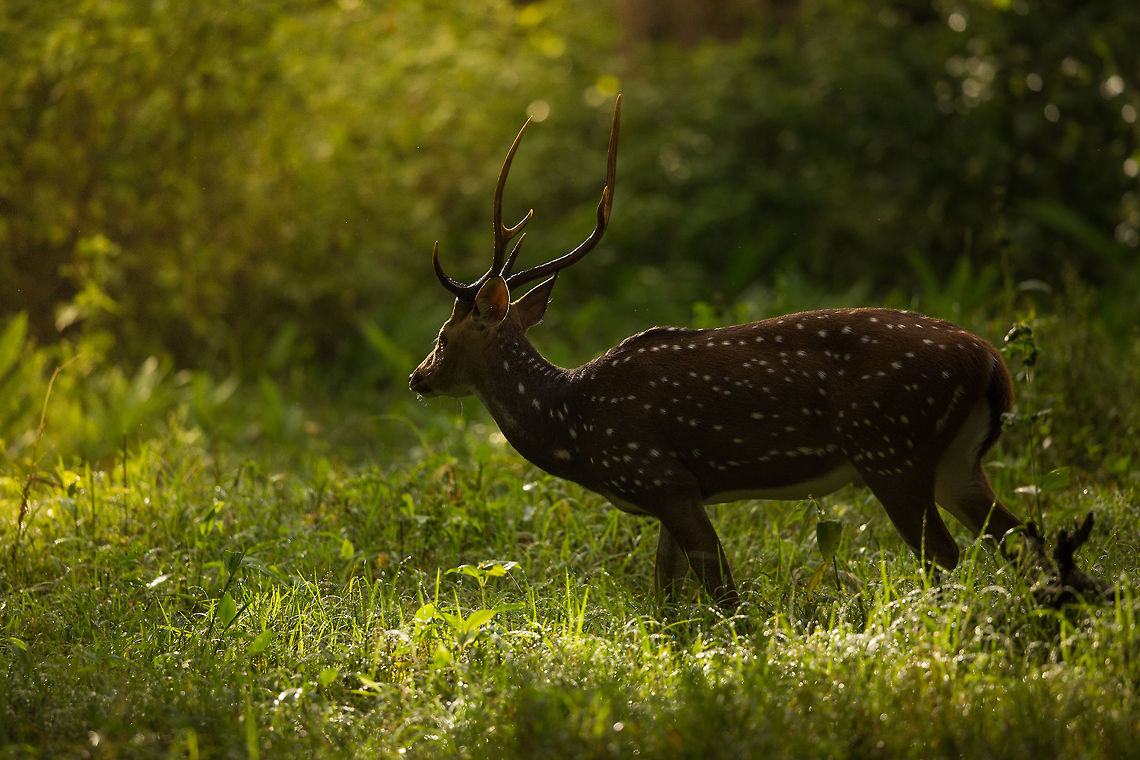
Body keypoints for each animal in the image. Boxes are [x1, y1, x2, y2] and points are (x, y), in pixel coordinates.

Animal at [409, 95, 1037, 609]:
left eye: (443, 336)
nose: (418, 377)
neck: (575, 427)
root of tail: (991, 363)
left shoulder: (656, 472)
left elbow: (723, 596)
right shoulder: (673, 492)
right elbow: (663, 599)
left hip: (890, 447)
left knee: (948, 560)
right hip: (958, 460)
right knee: (1025, 539)